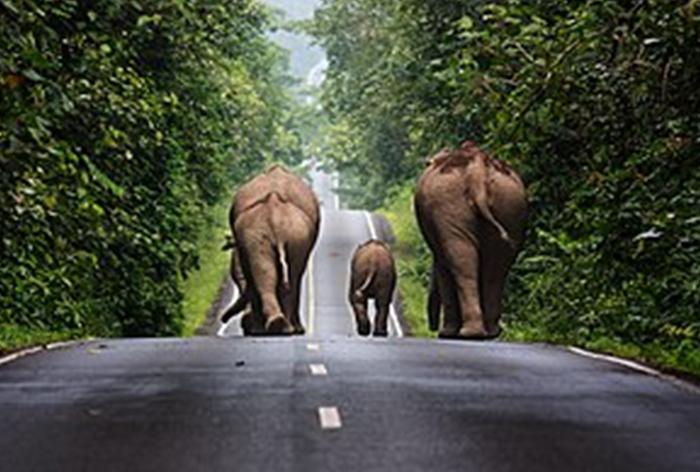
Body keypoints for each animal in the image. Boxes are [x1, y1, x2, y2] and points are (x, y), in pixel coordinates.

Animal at [221, 165, 320, 335]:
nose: (223, 319)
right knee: (284, 275)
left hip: (270, 236)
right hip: (271, 236)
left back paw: (276, 326)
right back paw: (280, 327)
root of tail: (274, 219)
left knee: (275, 273)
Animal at [414, 140, 527, 340]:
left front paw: (446, 333)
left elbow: (442, 265)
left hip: (452, 204)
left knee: (463, 263)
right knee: (496, 268)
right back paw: (490, 333)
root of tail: (478, 168)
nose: (432, 328)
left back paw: (469, 333)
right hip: (508, 205)